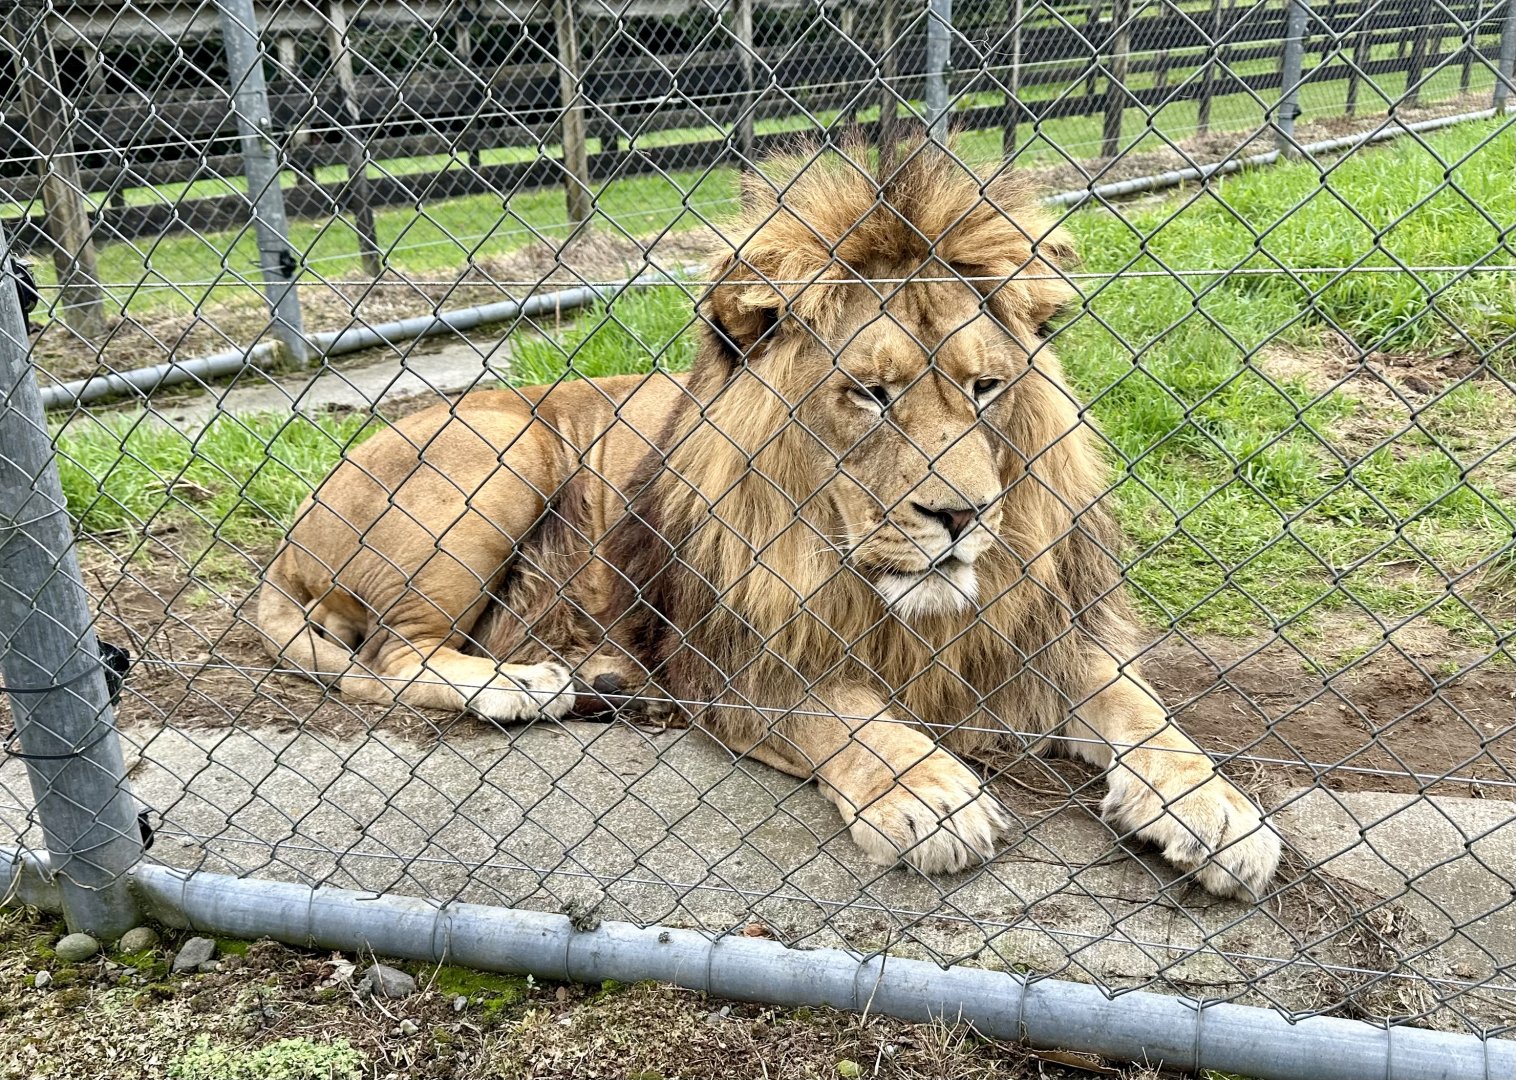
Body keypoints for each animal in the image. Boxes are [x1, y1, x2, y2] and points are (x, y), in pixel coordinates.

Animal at [256, 139, 1282, 900]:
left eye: (986, 388)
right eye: (869, 394)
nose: (962, 514)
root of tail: (294, 528)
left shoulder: (1046, 633)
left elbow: (1141, 708)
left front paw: (1217, 807)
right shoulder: (736, 656)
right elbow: (844, 713)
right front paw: (928, 792)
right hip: (498, 448)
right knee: (389, 656)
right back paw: (526, 686)